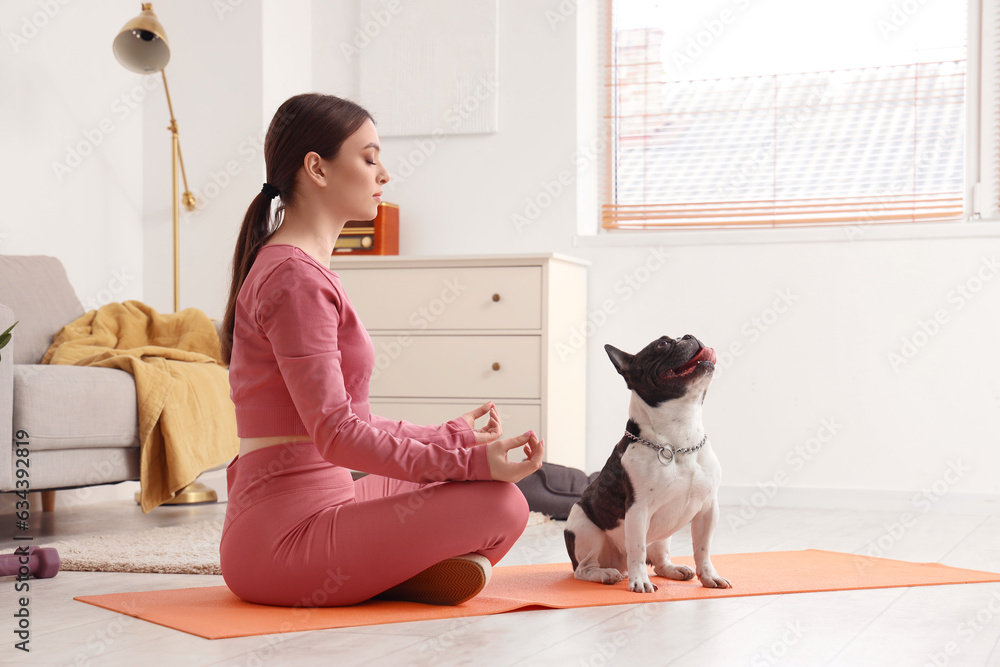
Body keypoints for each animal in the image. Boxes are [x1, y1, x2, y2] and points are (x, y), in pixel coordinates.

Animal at [568, 336, 732, 592]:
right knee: (583, 568)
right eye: (662, 344)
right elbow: (637, 549)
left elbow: (703, 549)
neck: (680, 436)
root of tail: (618, 563)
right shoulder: (638, 510)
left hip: (663, 537)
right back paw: (606, 574)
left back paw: (674, 569)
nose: (689, 336)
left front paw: (709, 576)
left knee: (659, 560)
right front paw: (640, 582)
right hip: (584, 528)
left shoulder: (707, 509)